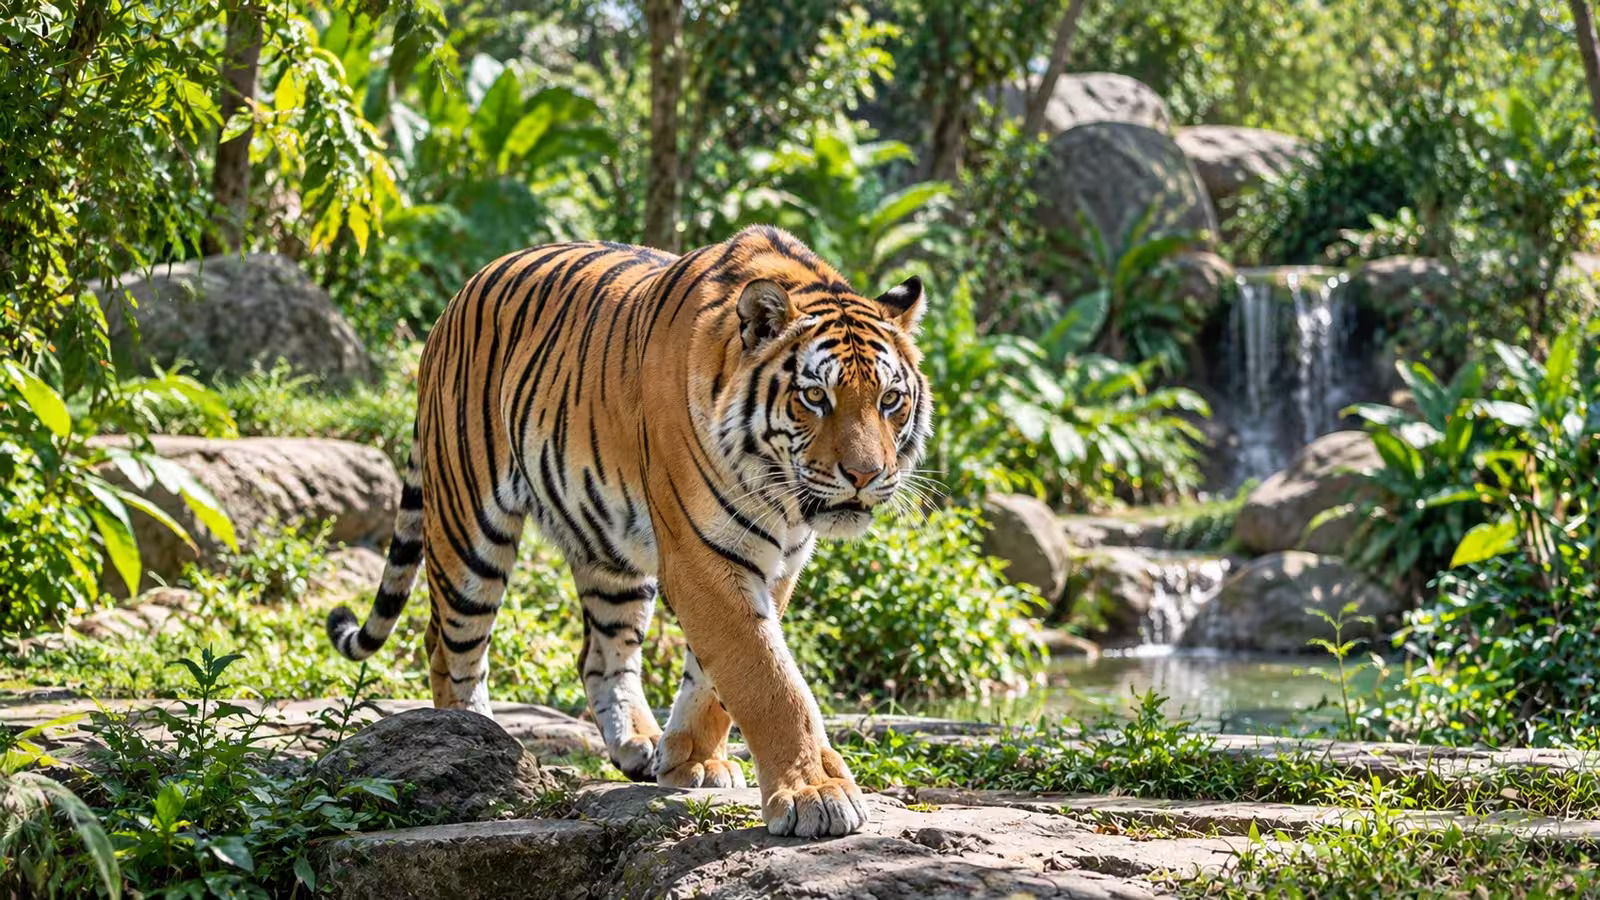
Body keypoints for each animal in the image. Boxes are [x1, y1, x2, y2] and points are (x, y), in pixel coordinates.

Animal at [325, 224, 931, 838]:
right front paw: (816, 793)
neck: (777, 493)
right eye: (814, 396)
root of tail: (456, 299)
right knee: (449, 643)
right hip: (468, 527)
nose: (865, 476)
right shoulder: (701, 556)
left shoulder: (776, 562)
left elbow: (717, 678)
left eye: (890, 400)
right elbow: (767, 679)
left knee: (600, 655)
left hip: (608, 549)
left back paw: (638, 743)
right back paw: (472, 740)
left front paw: (694, 761)